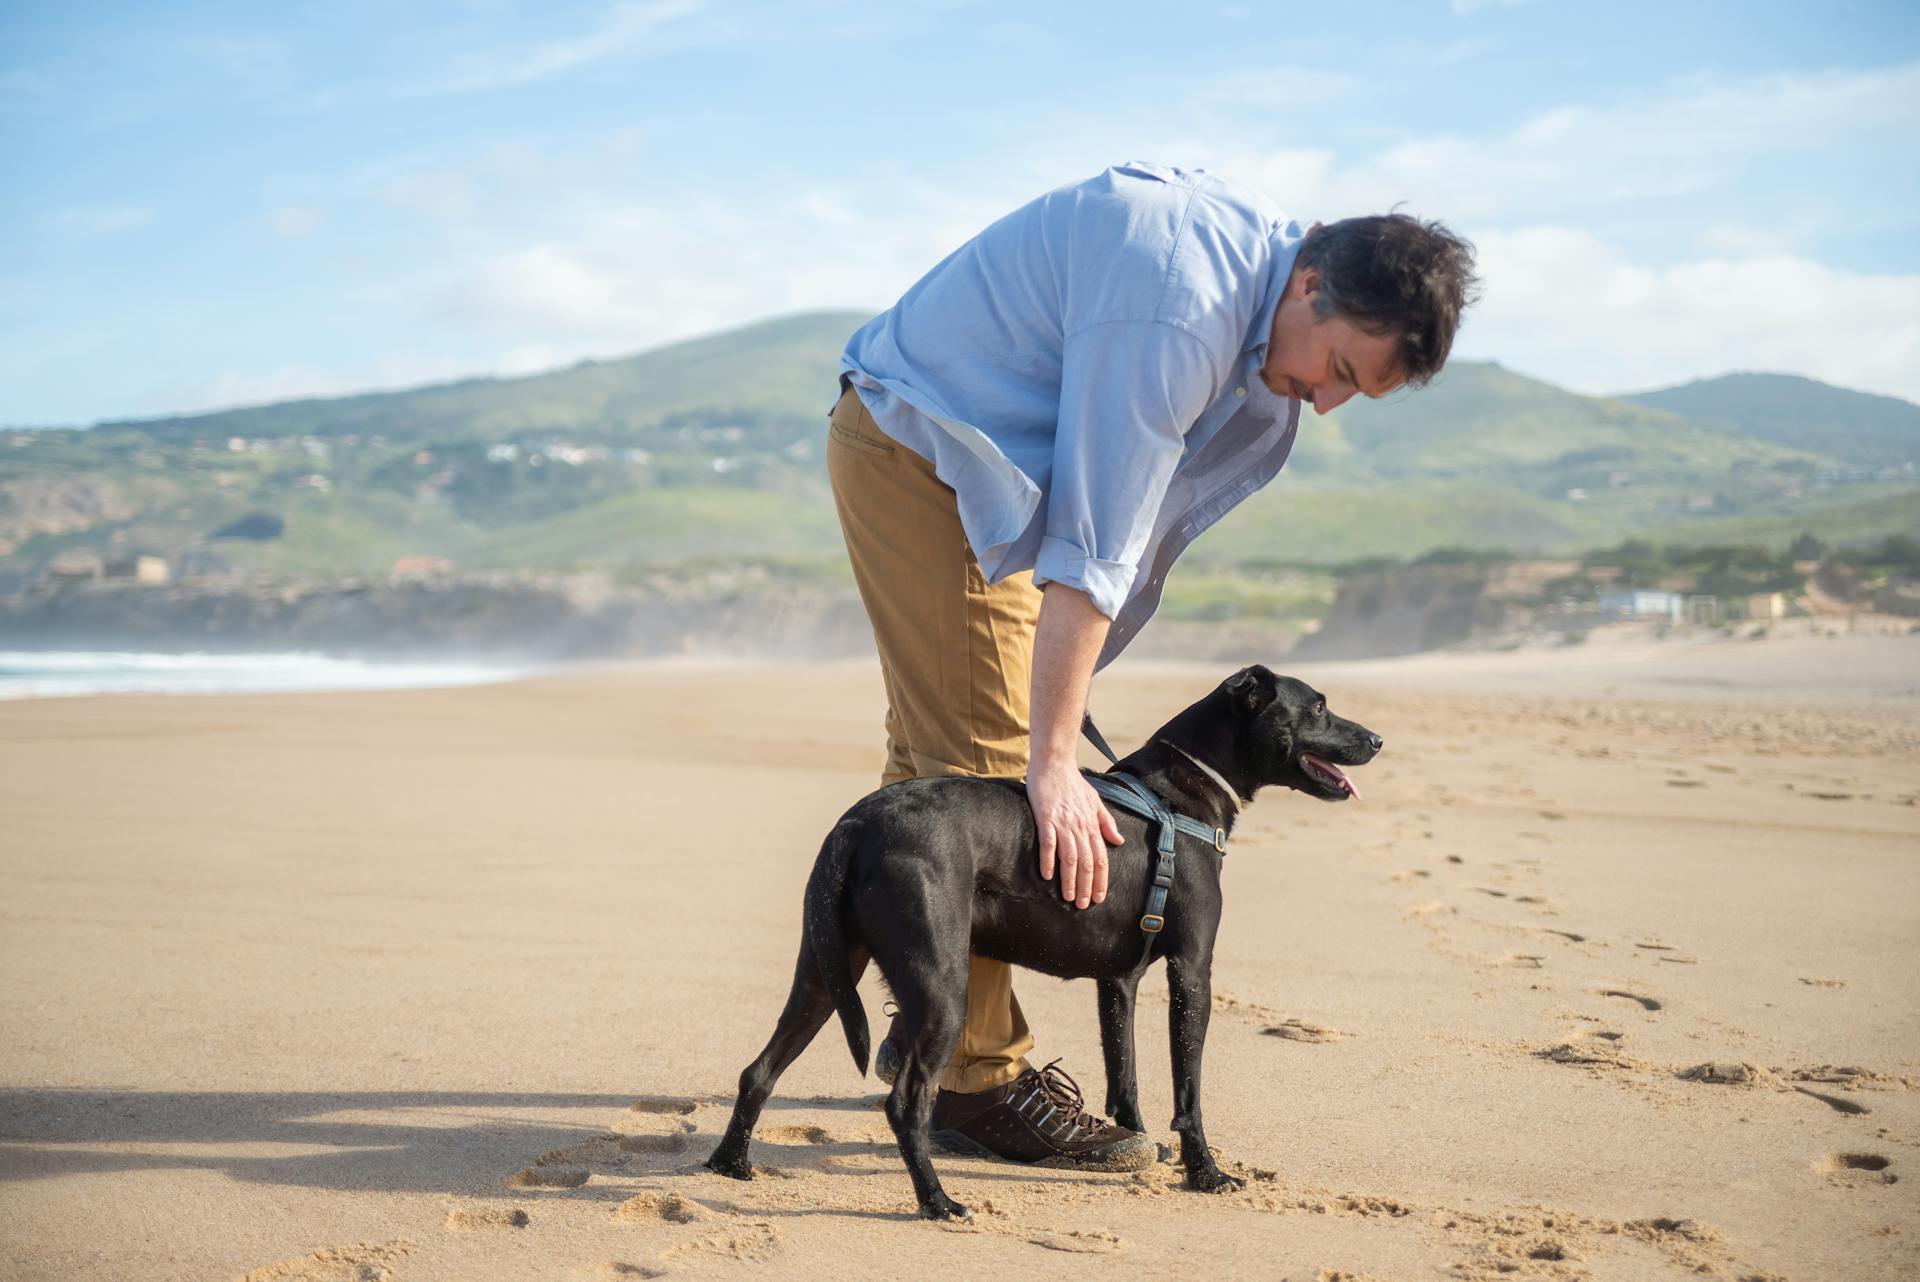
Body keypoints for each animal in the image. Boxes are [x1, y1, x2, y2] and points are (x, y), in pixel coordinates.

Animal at [706, 667, 1382, 1220]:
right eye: (1319, 706)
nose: (1377, 740)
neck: (1181, 792)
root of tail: (855, 824)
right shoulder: (1192, 974)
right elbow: (1188, 1089)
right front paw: (1206, 1173)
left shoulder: (1119, 982)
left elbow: (1125, 1077)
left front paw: (1136, 1145)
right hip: (939, 989)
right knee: (906, 1102)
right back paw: (937, 1201)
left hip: (823, 974)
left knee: (759, 1070)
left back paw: (729, 1163)